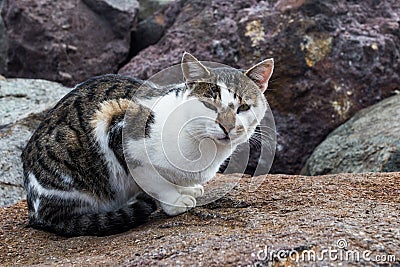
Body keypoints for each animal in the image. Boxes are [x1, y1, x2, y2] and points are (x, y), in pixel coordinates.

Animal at [21, 52, 272, 237]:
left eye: (243, 107)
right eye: (209, 105)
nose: (227, 126)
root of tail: (35, 210)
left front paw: (187, 188)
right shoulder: (119, 129)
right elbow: (154, 181)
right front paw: (175, 201)